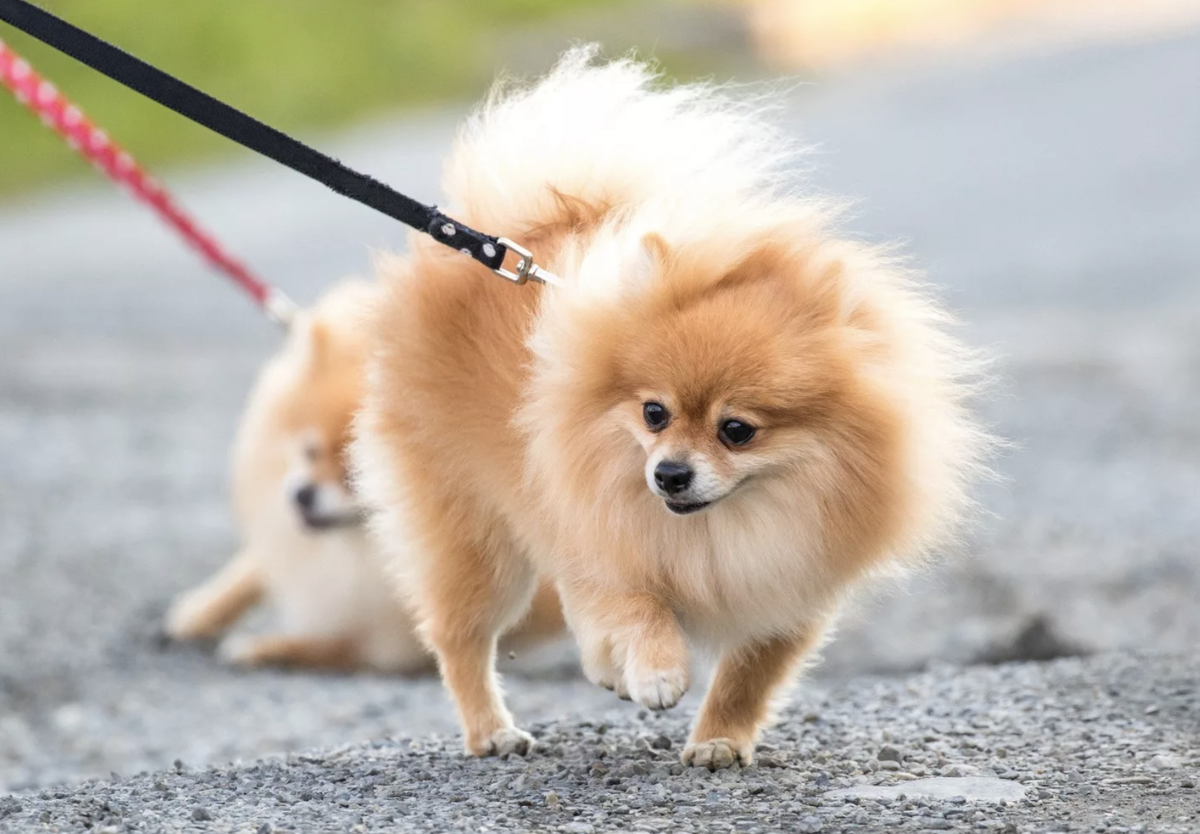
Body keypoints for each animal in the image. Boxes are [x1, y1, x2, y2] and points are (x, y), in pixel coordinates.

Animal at [162, 284, 564, 676]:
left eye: (353, 477)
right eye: (309, 450)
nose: (302, 495)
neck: (356, 549)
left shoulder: (385, 639)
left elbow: (326, 646)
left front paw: (261, 647)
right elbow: (250, 572)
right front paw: (198, 613)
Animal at [350, 50, 988, 768]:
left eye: (737, 430)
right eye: (654, 414)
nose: (669, 474)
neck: (719, 530)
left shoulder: (792, 592)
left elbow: (749, 675)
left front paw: (718, 740)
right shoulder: (601, 538)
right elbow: (637, 605)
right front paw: (658, 672)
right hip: (477, 540)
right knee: (460, 636)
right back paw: (492, 730)